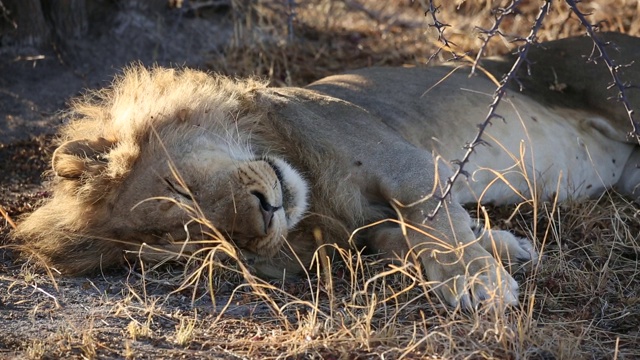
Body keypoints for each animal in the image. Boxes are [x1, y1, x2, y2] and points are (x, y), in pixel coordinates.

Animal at [15, 33, 640, 310]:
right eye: (203, 241)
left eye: (180, 188)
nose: (263, 216)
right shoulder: (367, 226)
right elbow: (408, 240)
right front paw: (507, 248)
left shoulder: (410, 167)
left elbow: (436, 225)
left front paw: (479, 283)